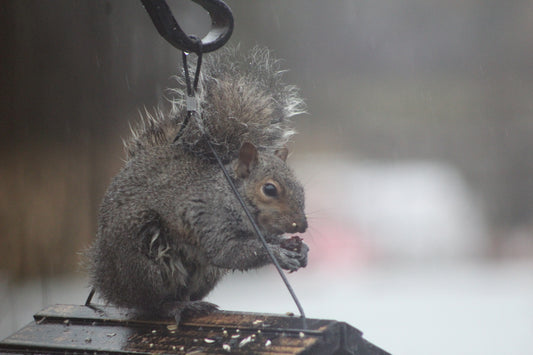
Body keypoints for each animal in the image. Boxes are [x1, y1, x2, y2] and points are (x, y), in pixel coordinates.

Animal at [87, 46, 310, 322]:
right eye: (269, 189)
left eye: (301, 189)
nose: (302, 226)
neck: (229, 196)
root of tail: (106, 279)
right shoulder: (207, 217)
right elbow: (231, 252)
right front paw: (280, 255)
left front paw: (296, 248)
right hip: (145, 257)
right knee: (150, 302)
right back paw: (174, 307)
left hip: (204, 273)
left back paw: (191, 303)